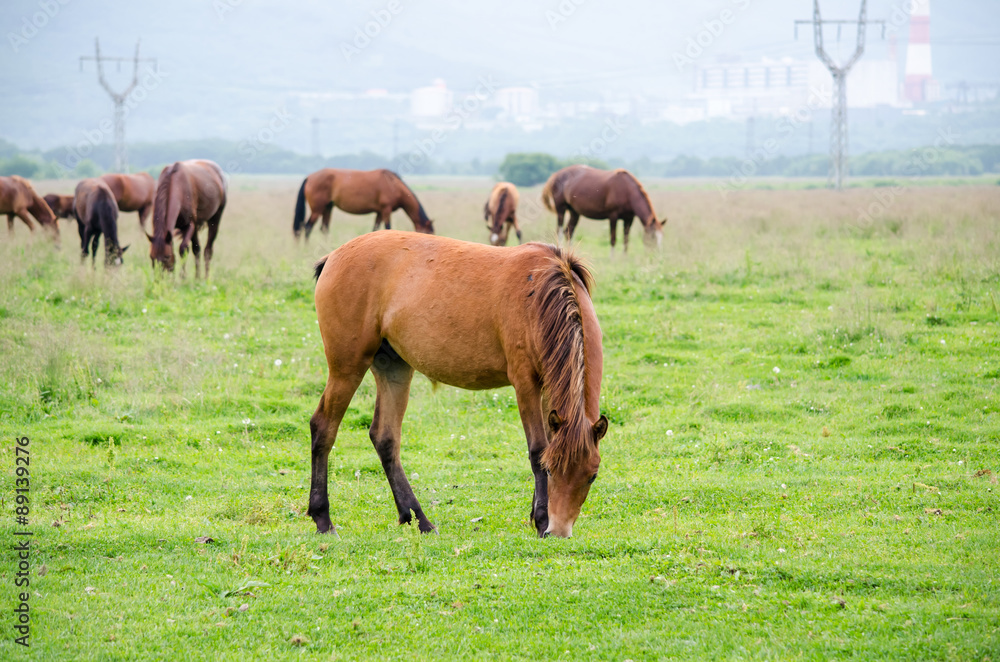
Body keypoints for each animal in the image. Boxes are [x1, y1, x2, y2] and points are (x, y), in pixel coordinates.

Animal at [290, 169, 430, 241]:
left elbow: (375, 228)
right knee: (308, 227)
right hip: (317, 209)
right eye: (428, 232)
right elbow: (388, 227)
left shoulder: (379, 212)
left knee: (324, 228)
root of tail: (309, 177)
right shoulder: (386, 209)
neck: (394, 184)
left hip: (328, 208)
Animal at [310, 232, 608, 540]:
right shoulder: (525, 383)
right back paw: (323, 519)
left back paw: (419, 519)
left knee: (385, 438)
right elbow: (537, 449)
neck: (542, 291)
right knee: (323, 428)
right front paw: (540, 519)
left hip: (394, 369)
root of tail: (333, 257)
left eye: (592, 476)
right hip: (347, 369)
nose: (558, 531)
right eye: (550, 471)